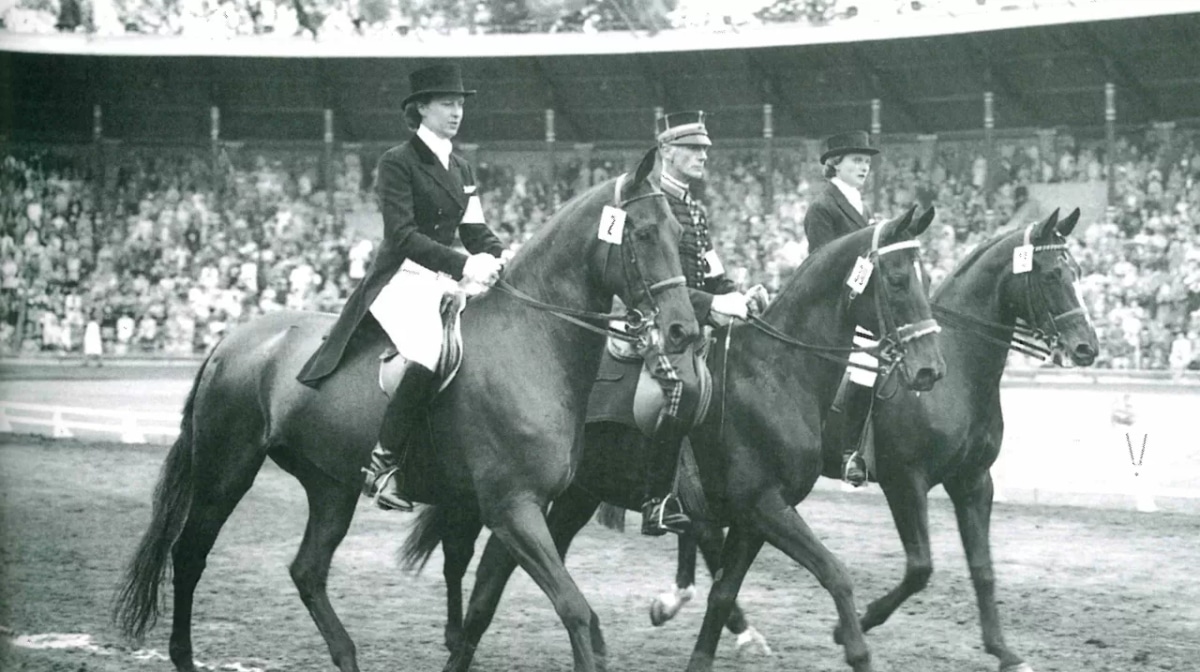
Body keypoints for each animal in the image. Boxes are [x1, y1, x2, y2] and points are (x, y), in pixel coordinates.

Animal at [112, 149, 700, 672]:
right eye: (642, 233)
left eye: (679, 233)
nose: (683, 331)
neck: (531, 341)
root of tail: (232, 340)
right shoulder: (513, 508)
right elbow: (575, 611)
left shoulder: (523, 509)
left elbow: (492, 605)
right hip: (226, 471)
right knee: (190, 554)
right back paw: (184, 657)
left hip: (331, 485)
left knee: (307, 571)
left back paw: (347, 657)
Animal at [403, 206, 945, 672]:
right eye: (898, 280)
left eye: (927, 278)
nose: (930, 370)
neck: (774, 373)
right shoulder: (767, 505)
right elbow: (835, 573)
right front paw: (857, 650)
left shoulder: (755, 517)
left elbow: (722, 594)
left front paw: (704, 655)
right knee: (471, 557)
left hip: (572, 495)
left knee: (506, 565)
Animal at [643, 208, 1099, 672]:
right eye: (1051, 274)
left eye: (1078, 272)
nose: (1087, 347)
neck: (961, 370)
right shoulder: (905, 480)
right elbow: (920, 567)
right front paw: (848, 629)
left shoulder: (973, 481)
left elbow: (983, 569)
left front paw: (1005, 652)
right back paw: (687, 604)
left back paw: (685, 601)